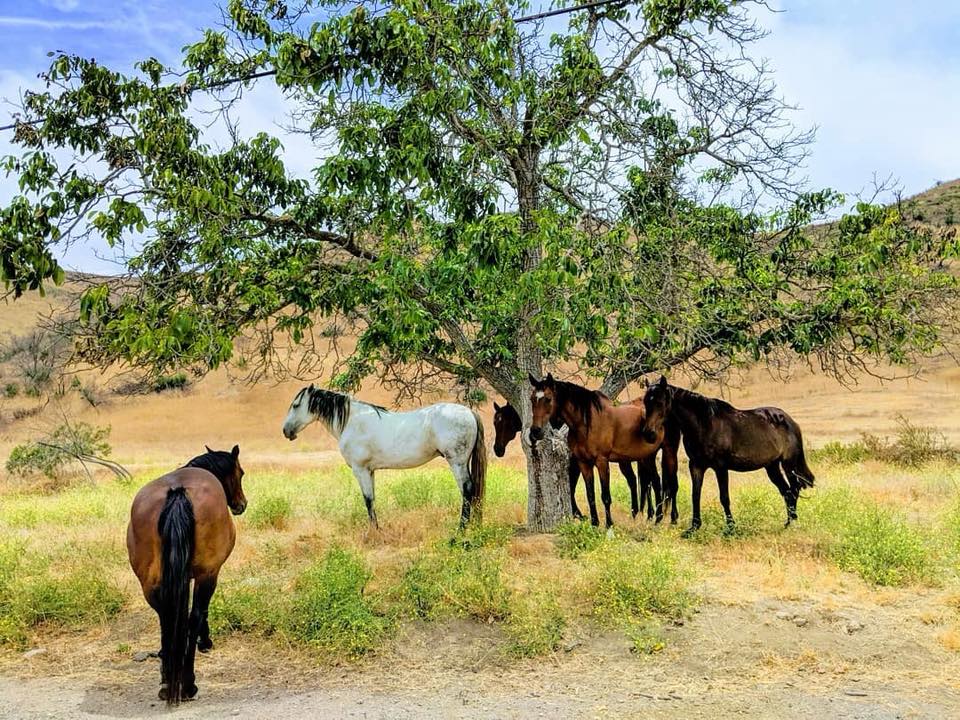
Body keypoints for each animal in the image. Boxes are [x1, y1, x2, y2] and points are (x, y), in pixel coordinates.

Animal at [126, 445, 246, 704]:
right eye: (241, 473)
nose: (241, 504)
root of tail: (178, 492)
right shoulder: (208, 574)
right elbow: (201, 614)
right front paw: (205, 642)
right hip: (206, 575)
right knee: (192, 618)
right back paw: (188, 684)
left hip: (150, 584)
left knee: (167, 618)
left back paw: (167, 680)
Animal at [282, 385, 487, 528]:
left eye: (296, 405)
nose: (286, 431)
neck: (351, 421)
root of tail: (469, 412)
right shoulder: (370, 471)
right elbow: (372, 499)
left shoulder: (360, 470)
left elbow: (367, 500)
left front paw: (373, 532)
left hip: (457, 462)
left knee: (467, 490)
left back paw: (461, 530)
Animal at [492, 399, 679, 522]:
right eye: (495, 422)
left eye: (504, 422)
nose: (497, 449)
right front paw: (579, 514)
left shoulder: (575, 462)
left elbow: (571, 486)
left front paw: (578, 514)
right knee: (640, 481)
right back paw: (643, 513)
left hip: (643, 458)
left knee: (651, 481)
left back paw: (653, 515)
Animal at [528, 373, 669, 528]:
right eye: (532, 399)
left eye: (548, 399)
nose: (535, 431)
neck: (587, 423)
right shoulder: (583, 463)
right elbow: (590, 494)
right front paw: (594, 523)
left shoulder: (601, 461)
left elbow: (605, 495)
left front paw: (609, 525)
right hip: (634, 459)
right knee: (641, 481)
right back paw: (642, 515)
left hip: (648, 457)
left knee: (654, 482)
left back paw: (657, 518)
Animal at [640, 376, 815, 536]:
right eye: (646, 403)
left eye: (659, 403)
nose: (648, 434)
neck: (704, 424)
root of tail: (790, 421)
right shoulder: (696, 465)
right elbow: (695, 495)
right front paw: (693, 528)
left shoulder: (720, 467)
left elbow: (724, 497)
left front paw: (730, 528)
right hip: (772, 467)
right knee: (786, 492)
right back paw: (787, 524)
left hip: (789, 464)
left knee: (794, 489)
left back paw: (793, 524)